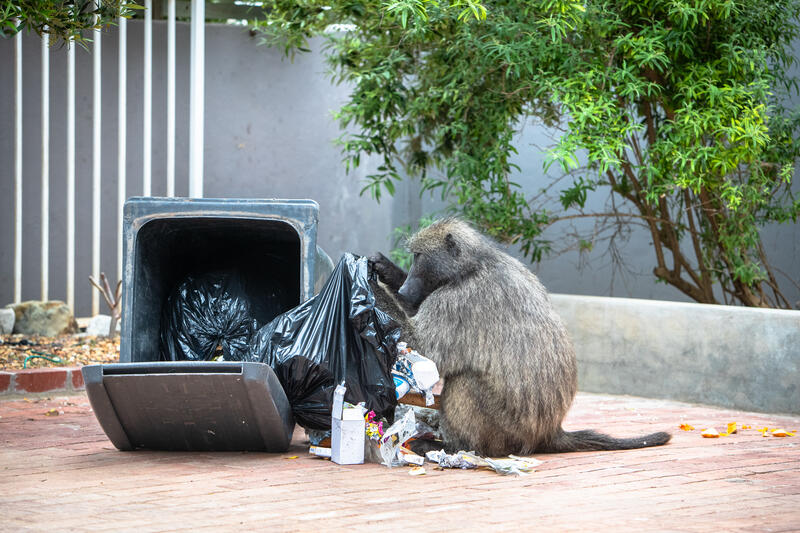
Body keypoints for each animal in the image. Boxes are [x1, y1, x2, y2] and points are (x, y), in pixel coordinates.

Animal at [370, 218, 671, 456]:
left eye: (418, 256)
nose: (406, 288)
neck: (474, 266)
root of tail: (550, 432)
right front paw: (383, 269)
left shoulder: (457, 302)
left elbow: (423, 351)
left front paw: (372, 287)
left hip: (506, 430)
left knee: (465, 382)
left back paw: (455, 448)